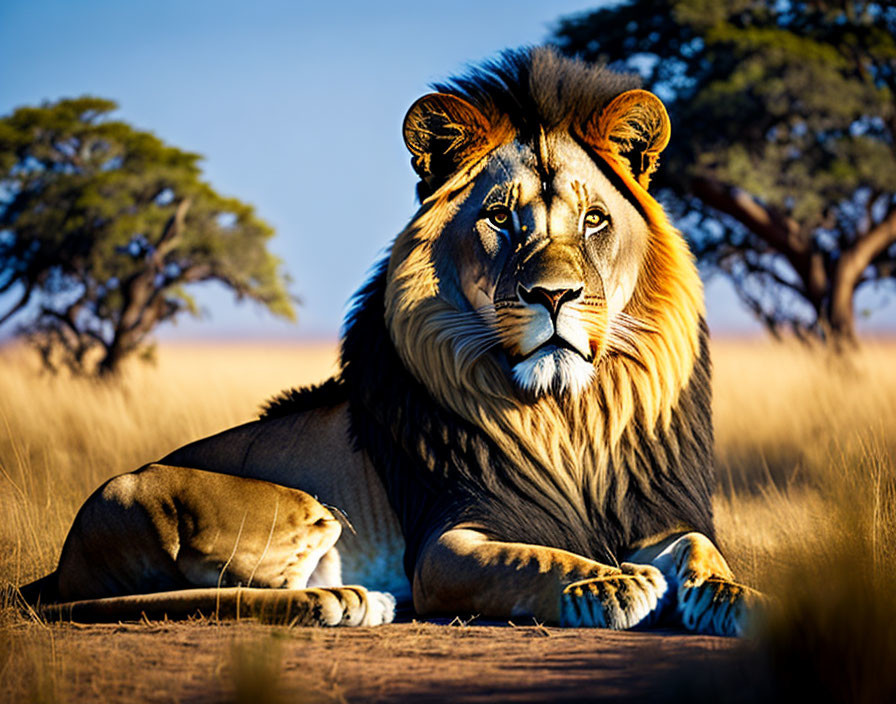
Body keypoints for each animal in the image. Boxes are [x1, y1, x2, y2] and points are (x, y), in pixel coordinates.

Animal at [19, 46, 764, 636]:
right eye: (501, 218)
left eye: (595, 220)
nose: (553, 296)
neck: (569, 417)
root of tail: (67, 557)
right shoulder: (446, 540)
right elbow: (531, 557)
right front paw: (608, 582)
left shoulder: (659, 517)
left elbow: (702, 550)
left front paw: (743, 598)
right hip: (270, 505)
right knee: (228, 596)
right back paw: (350, 600)